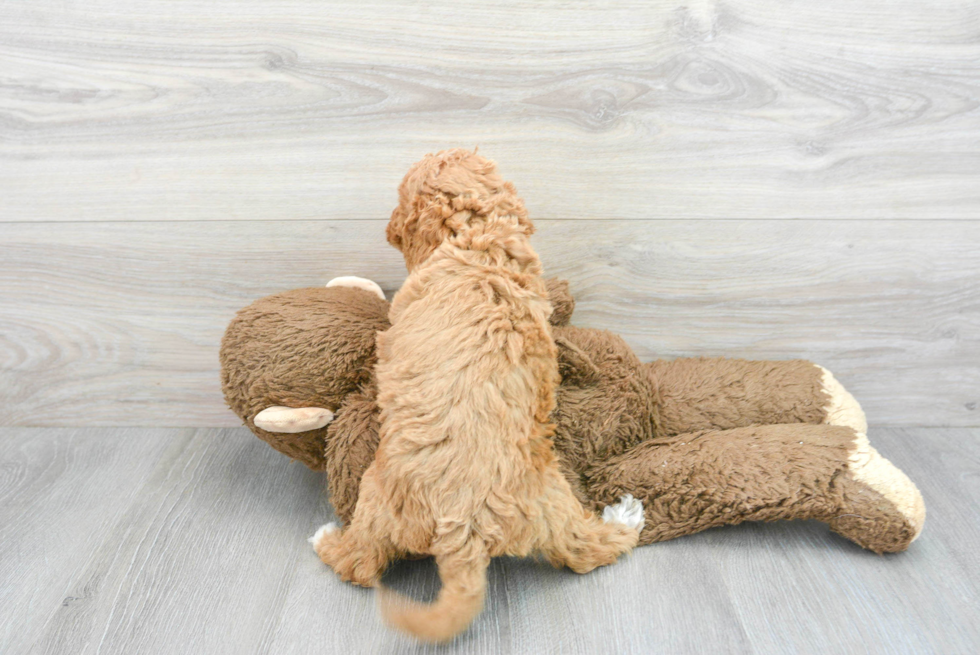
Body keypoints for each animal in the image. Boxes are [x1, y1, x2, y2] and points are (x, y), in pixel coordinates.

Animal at [308, 147, 644, 640]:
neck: (478, 235)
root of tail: (465, 530)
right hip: (553, 502)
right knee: (585, 551)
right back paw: (625, 519)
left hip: (376, 497)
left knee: (361, 564)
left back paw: (327, 540)